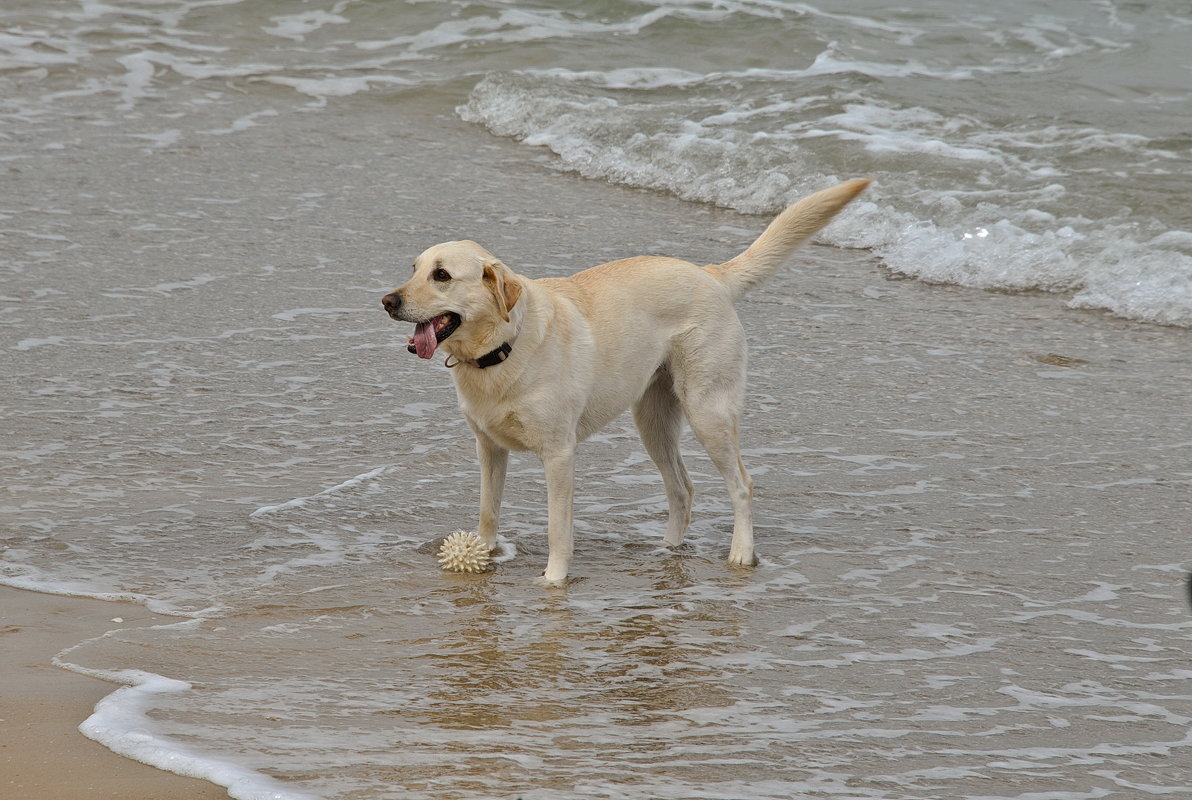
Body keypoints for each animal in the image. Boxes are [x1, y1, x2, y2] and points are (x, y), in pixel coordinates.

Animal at [386, 178, 872, 584]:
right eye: (413, 268)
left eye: (442, 275)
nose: (387, 301)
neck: (502, 347)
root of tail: (710, 273)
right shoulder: (488, 448)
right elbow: (488, 512)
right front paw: (482, 556)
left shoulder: (558, 454)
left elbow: (558, 528)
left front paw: (553, 582)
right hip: (654, 422)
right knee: (682, 488)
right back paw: (667, 552)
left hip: (708, 411)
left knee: (741, 485)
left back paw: (740, 554)